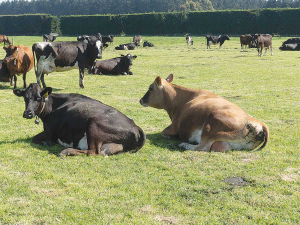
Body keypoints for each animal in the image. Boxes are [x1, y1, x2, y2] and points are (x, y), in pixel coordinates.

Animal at [12, 83, 146, 156]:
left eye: (38, 98)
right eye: (25, 98)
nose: (27, 113)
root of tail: (135, 125)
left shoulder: (50, 131)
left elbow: (34, 138)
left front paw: (47, 143)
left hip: (94, 124)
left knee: (93, 152)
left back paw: (66, 151)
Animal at [141, 74, 270, 153]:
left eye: (150, 88)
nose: (141, 100)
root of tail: (259, 123)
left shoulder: (174, 126)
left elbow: (164, 133)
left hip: (212, 121)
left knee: (203, 147)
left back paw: (184, 145)